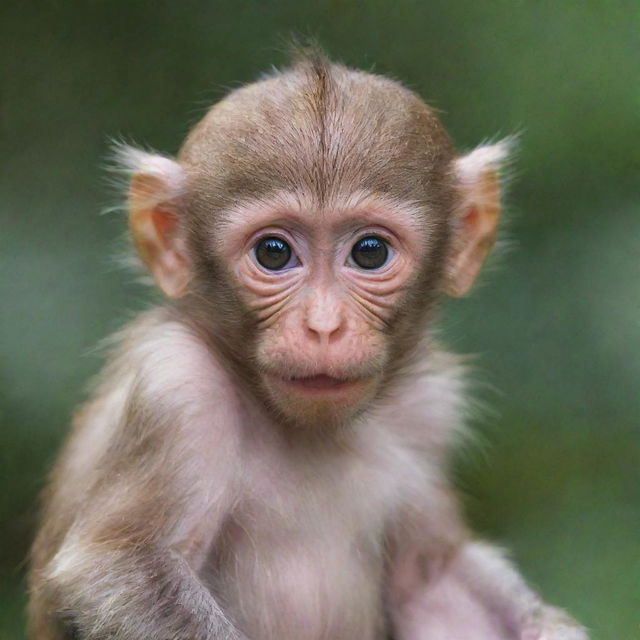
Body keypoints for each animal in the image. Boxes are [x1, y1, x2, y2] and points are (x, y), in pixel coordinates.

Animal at [27, 50, 588, 640]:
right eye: (273, 253)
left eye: (370, 252)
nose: (324, 326)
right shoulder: (176, 387)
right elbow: (115, 570)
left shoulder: (429, 410)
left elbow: (430, 579)